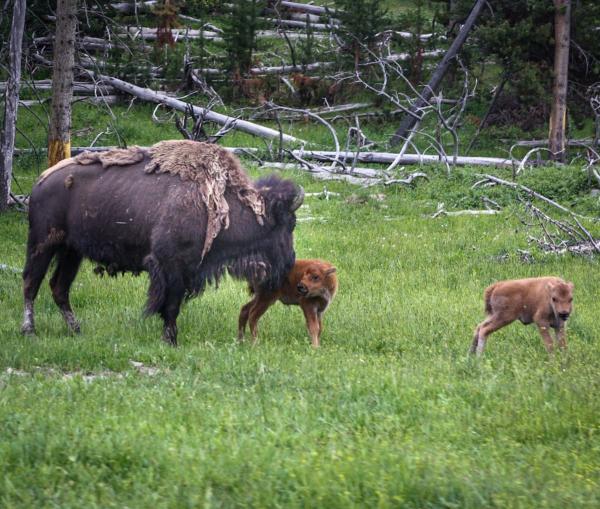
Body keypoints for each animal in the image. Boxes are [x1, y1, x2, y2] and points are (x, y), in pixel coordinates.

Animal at [21, 140, 302, 346]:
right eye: (291, 224)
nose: (290, 261)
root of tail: (40, 182)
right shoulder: (171, 266)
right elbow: (170, 306)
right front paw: (171, 340)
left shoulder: (185, 270)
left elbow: (170, 306)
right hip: (42, 244)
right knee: (31, 283)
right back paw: (29, 331)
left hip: (72, 251)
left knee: (59, 287)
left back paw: (77, 330)